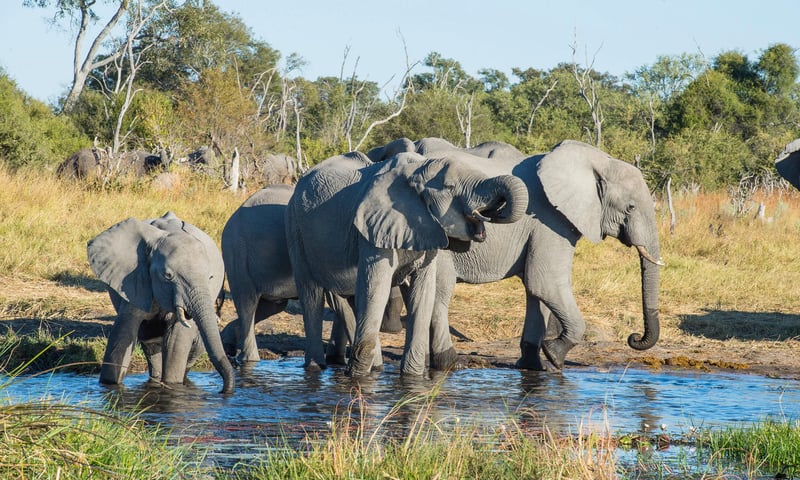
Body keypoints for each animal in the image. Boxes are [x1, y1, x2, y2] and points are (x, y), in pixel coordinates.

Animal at [87, 211, 235, 393]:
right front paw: (110, 385)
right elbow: (123, 331)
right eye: (168, 276)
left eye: (210, 277)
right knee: (149, 339)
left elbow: (177, 339)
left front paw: (172, 386)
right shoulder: (136, 279)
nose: (223, 391)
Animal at [286, 150, 529, 377]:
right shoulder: (374, 229)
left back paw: (376, 368)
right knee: (312, 295)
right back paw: (316, 368)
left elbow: (422, 293)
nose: (495, 211)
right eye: (450, 186)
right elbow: (376, 289)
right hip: (295, 227)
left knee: (352, 299)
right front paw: (358, 380)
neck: (417, 170)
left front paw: (412, 378)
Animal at [414, 139, 662, 371]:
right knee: (440, 293)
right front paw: (554, 355)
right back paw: (450, 364)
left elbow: (536, 291)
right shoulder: (550, 221)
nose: (634, 337)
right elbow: (545, 283)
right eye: (630, 207)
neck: (597, 162)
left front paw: (534, 366)